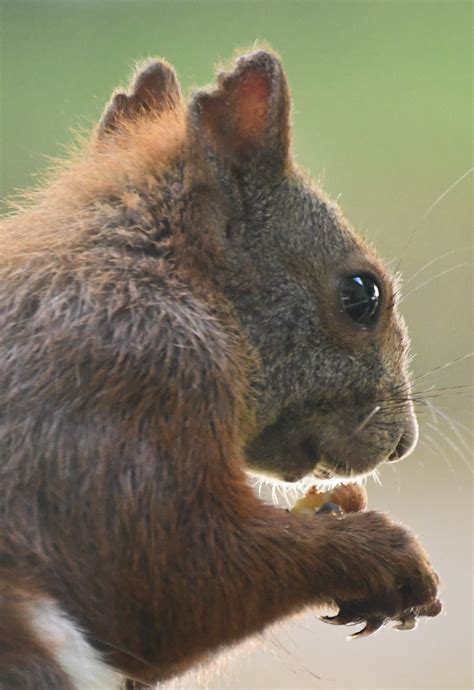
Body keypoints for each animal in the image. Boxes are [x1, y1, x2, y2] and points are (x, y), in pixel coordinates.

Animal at [1, 49, 442, 688]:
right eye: (362, 295)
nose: (403, 443)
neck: (166, 274)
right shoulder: (138, 376)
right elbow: (174, 584)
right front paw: (378, 552)